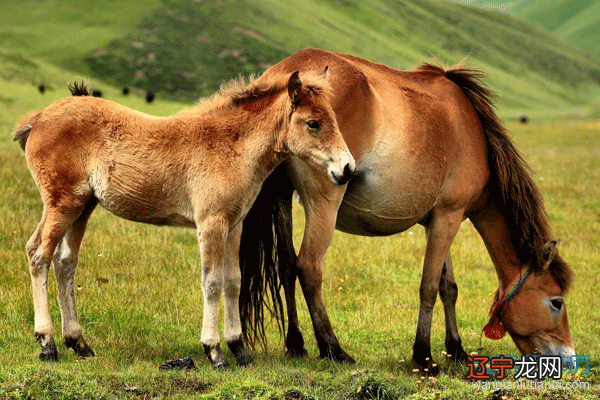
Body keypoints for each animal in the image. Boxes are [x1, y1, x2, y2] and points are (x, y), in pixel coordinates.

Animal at [15, 70, 356, 368]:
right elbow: (212, 282)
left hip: (83, 206)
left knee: (65, 262)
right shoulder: (211, 223)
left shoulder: (234, 224)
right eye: (313, 123)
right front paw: (215, 352)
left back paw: (79, 344)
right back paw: (47, 344)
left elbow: (233, 281)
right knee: (38, 254)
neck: (230, 147)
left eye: (334, 119)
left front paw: (240, 350)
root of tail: (38, 118)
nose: (348, 169)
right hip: (62, 203)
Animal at [238, 48, 572, 374]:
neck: (473, 134)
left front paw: (457, 350)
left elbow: (448, 287)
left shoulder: (436, 221)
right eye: (556, 302)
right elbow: (429, 286)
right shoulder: (449, 216)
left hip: (282, 198)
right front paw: (423, 356)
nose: (567, 358)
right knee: (308, 267)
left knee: (286, 267)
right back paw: (333, 349)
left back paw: (296, 344)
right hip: (324, 203)